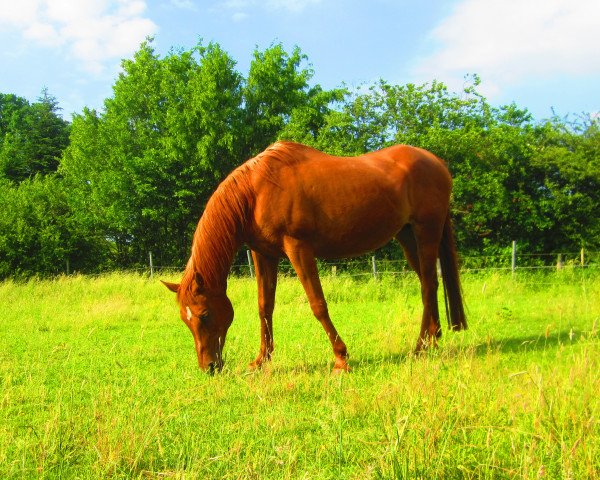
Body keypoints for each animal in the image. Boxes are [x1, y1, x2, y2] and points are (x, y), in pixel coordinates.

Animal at [162, 141, 466, 374]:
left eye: (204, 315)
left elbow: (318, 304)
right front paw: (261, 360)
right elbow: (264, 307)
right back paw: (433, 340)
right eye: (185, 320)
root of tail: (438, 163)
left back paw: (420, 346)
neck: (256, 191)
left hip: (426, 232)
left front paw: (341, 358)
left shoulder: (298, 249)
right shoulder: (263, 254)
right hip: (407, 236)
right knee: (429, 283)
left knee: (427, 286)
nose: (209, 367)